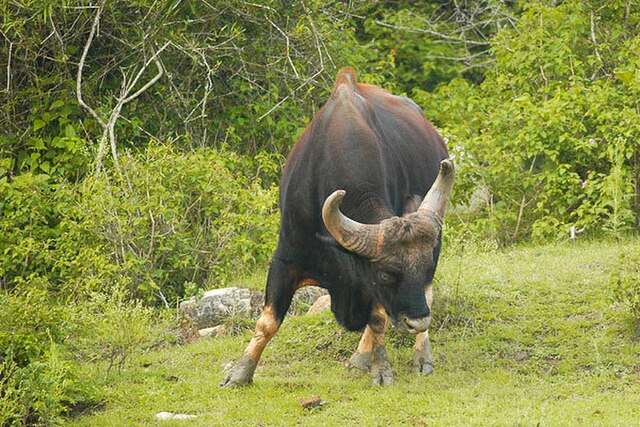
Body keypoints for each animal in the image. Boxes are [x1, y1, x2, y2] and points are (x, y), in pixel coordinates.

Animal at [222, 67, 452, 388]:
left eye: (425, 267)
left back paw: (417, 356)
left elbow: (378, 319)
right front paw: (240, 372)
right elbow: (268, 321)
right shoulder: (285, 258)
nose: (418, 321)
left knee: (420, 298)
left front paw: (381, 369)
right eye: (386, 273)